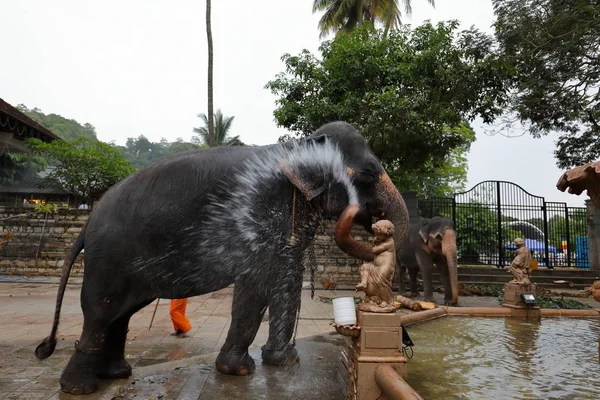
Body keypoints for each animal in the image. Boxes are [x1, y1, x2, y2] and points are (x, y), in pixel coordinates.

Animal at [35, 120, 410, 396]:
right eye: (367, 174)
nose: (378, 223)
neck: (295, 146)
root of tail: (88, 222)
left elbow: (287, 277)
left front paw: (285, 362)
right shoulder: (257, 211)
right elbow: (257, 282)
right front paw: (240, 371)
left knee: (120, 316)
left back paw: (117, 374)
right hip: (109, 259)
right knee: (101, 313)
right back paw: (79, 388)